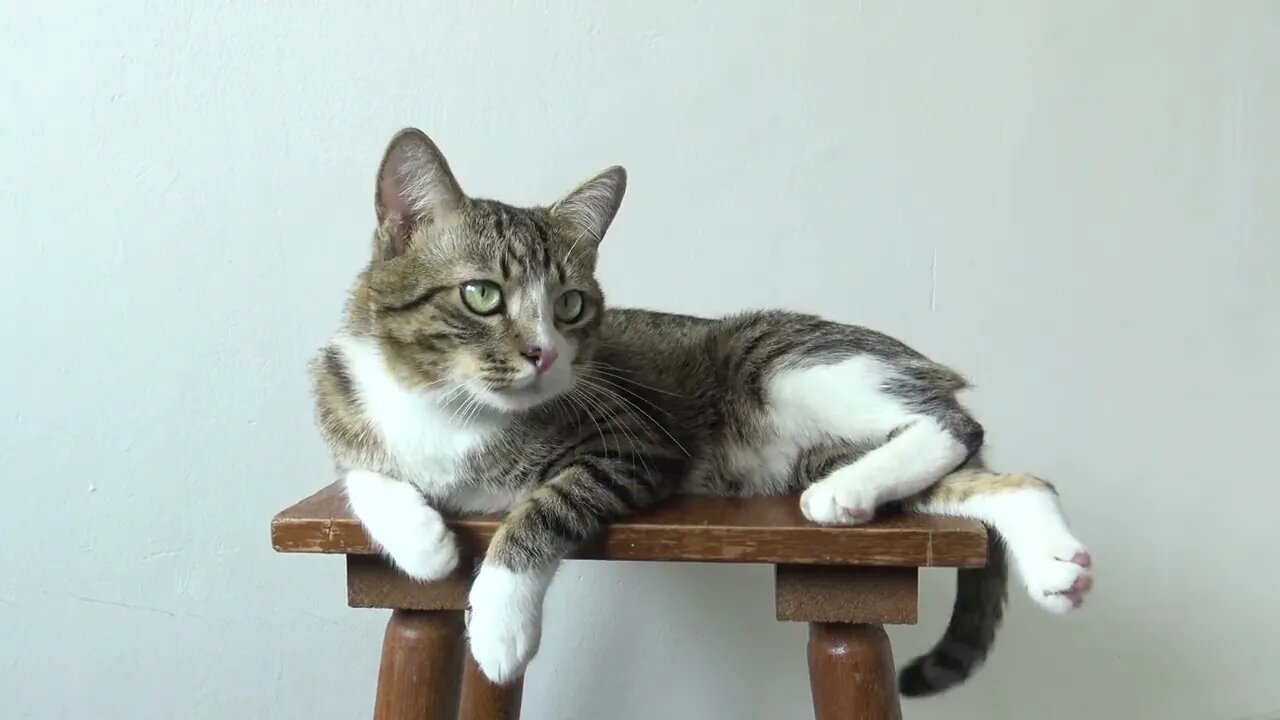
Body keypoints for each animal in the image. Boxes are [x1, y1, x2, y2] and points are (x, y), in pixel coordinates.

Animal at [309, 128, 1090, 696]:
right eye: (482, 296)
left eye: (570, 305)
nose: (544, 354)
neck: (447, 405)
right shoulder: (338, 399)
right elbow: (358, 473)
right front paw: (421, 541)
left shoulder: (632, 443)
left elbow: (544, 507)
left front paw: (498, 625)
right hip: (828, 436)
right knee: (1012, 480)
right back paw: (1054, 564)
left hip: (785, 362)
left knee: (954, 427)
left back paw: (844, 493)